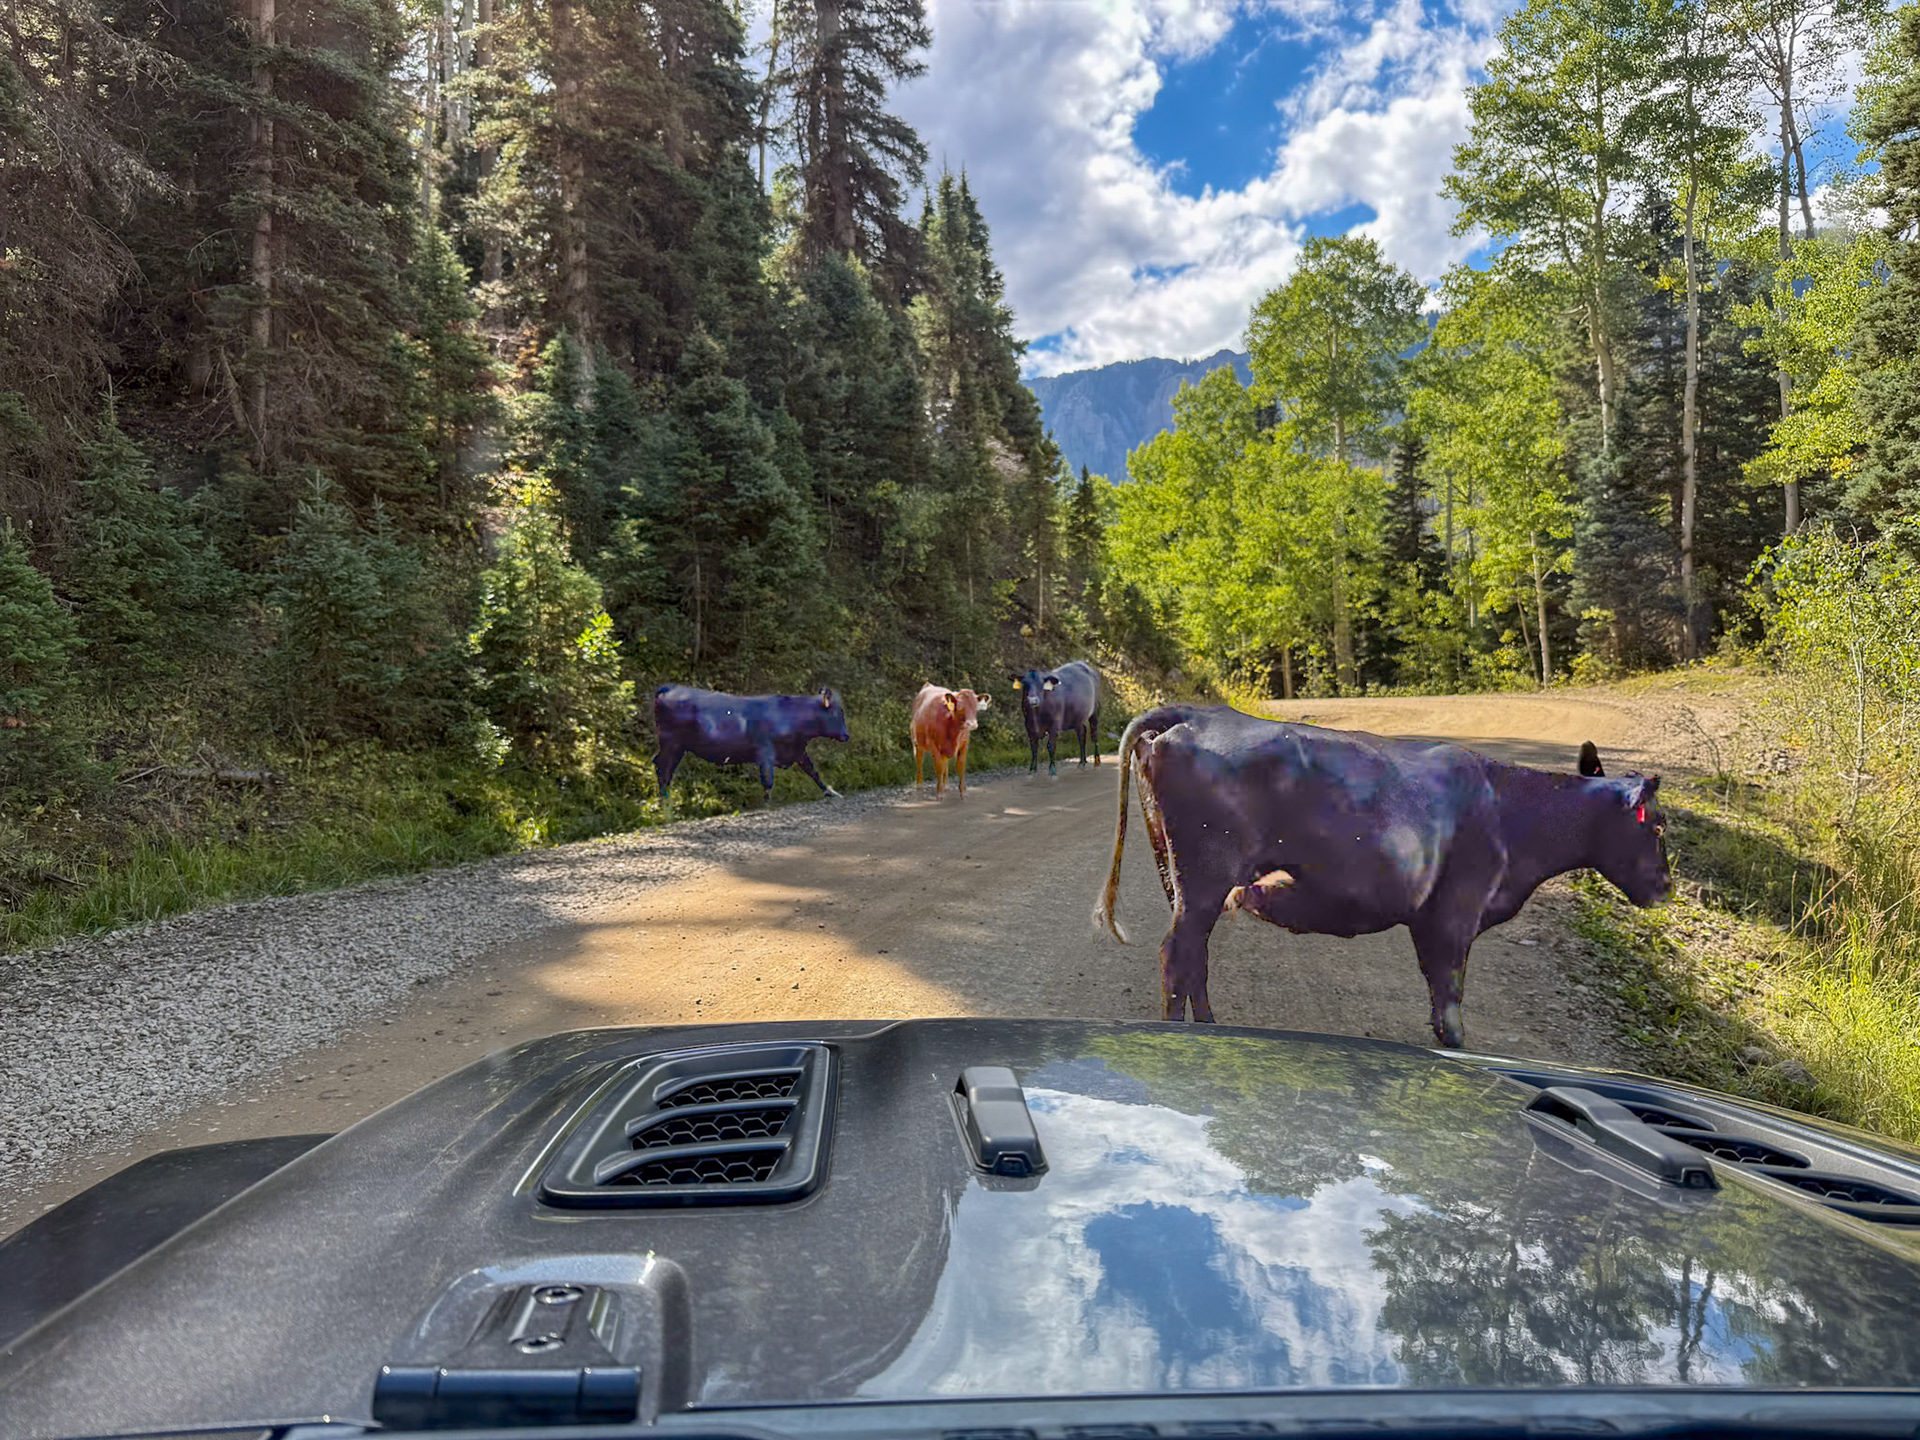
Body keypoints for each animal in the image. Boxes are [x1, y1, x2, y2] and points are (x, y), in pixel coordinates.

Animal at [653, 684, 850, 808]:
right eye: (837, 712)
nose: (846, 735)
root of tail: (669, 687)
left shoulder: (797, 751)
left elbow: (813, 772)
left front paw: (831, 792)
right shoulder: (766, 753)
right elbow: (768, 781)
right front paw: (767, 805)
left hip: (677, 747)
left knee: (662, 767)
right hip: (671, 743)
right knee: (663, 767)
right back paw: (664, 802)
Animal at [1092, 705, 1670, 1047]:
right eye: (1660, 826)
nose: (1666, 888)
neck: (1514, 811)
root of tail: (1198, 712)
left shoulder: (1431, 918)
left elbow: (1438, 990)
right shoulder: (1456, 911)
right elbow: (1450, 989)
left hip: (1181, 878)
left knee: (1195, 955)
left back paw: (1213, 1029)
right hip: (1205, 876)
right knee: (1177, 953)